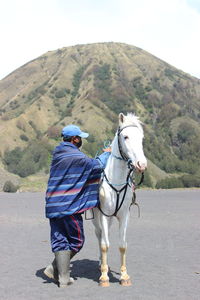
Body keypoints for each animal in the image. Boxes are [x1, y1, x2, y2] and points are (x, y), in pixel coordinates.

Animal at [92, 112, 147, 286]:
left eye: (141, 138)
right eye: (126, 136)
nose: (141, 164)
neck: (116, 181)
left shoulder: (124, 215)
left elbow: (122, 245)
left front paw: (124, 276)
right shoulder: (103, 214)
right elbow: (104, 245)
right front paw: (104, 277)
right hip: (97, 217)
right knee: (100, 236)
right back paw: (101, 264)